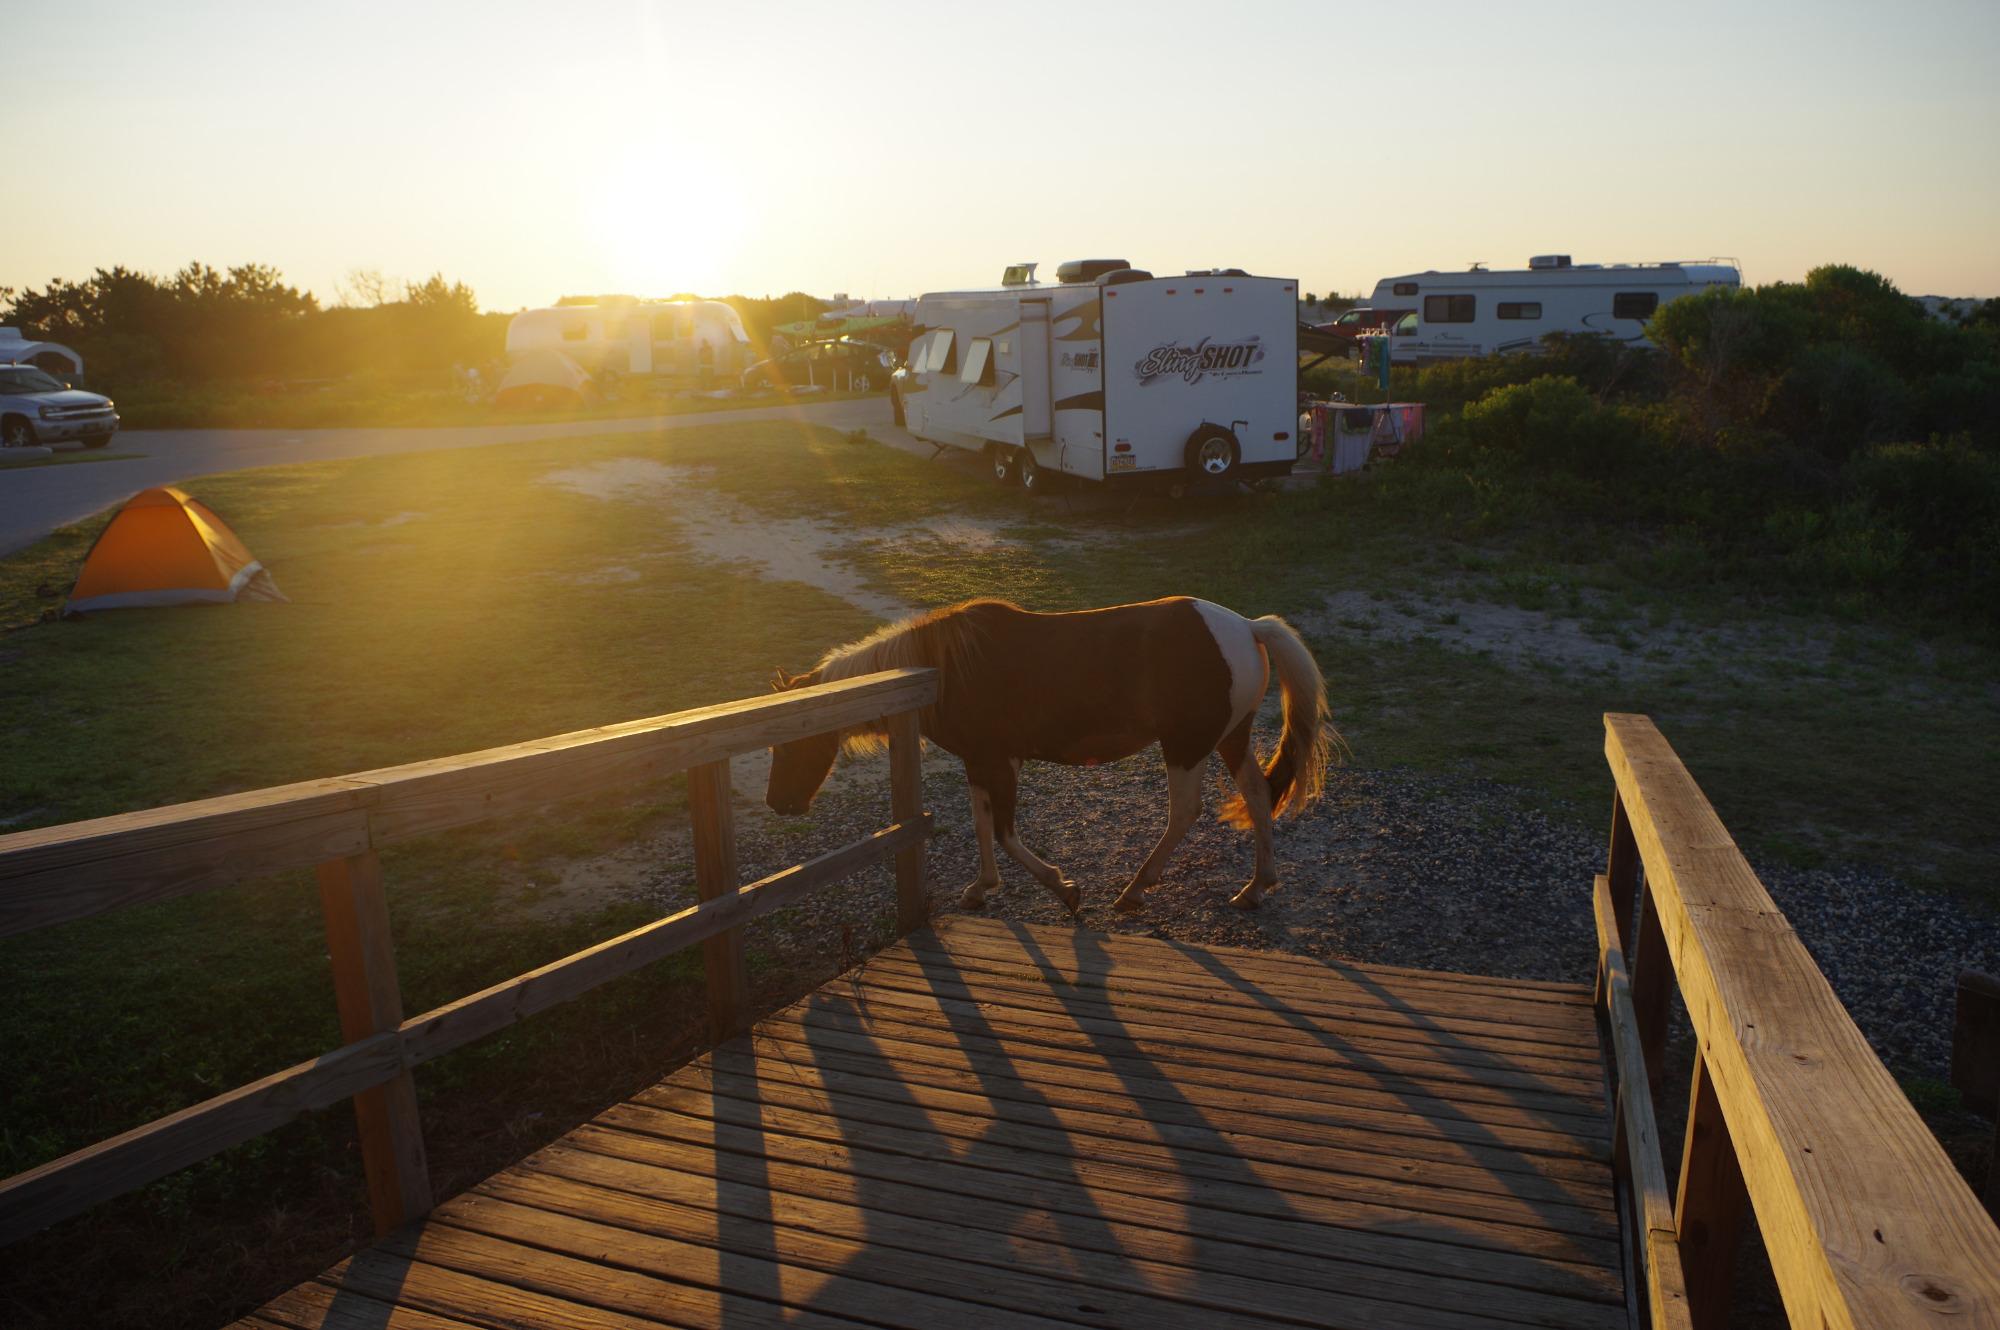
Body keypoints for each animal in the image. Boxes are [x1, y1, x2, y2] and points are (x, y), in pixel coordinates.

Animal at [772, 596, 1336, 908]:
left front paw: (1062, 887)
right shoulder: (980, 762)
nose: (780, 803)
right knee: (1258, 796)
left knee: (1185, 812)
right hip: (1228, 738)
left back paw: (1135, 889)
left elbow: (1004, 833)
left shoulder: (999, 761)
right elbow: (983, 825)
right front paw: (982, 888)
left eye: (795, 735)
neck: (944, 670)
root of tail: (1247, 627)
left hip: (1186, 745)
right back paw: (1256, 888)